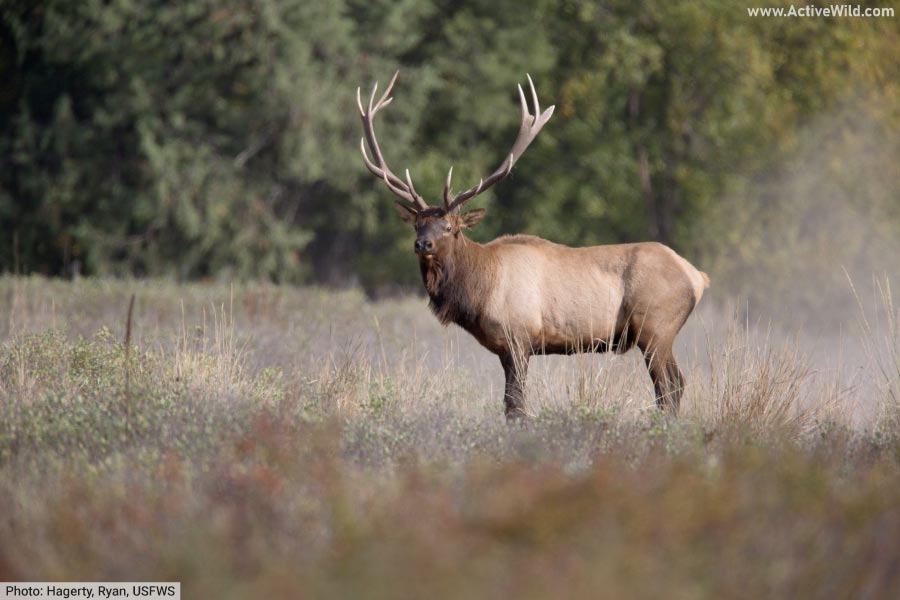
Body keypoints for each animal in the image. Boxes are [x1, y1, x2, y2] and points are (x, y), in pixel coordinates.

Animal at [357, 72, 709, 420]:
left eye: (449, 227)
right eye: (417, 224)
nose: (422, 243)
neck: (478, 289)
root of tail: (697, 277)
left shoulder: (519, 338)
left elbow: (515, 405)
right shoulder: (505, 348)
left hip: (656, 327)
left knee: (670, 385)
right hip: (657, 334)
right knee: (675, 384)